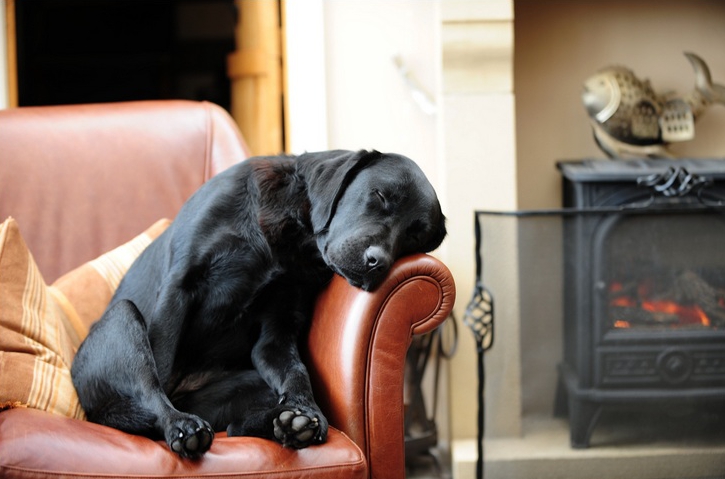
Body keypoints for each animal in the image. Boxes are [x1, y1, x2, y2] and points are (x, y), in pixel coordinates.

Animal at [73, 148, 446, 460]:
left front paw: (305, 414)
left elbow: (297, 372)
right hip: (122, 317)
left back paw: (285, 424)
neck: (290, 236)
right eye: (380, 196)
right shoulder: (178, 287)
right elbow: (160, 363)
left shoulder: (277, 332)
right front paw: (173, 429)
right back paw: (181, 424)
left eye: (415, 237)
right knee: (150, 384)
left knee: (237, 427)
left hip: (248, 385)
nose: (377, 262)